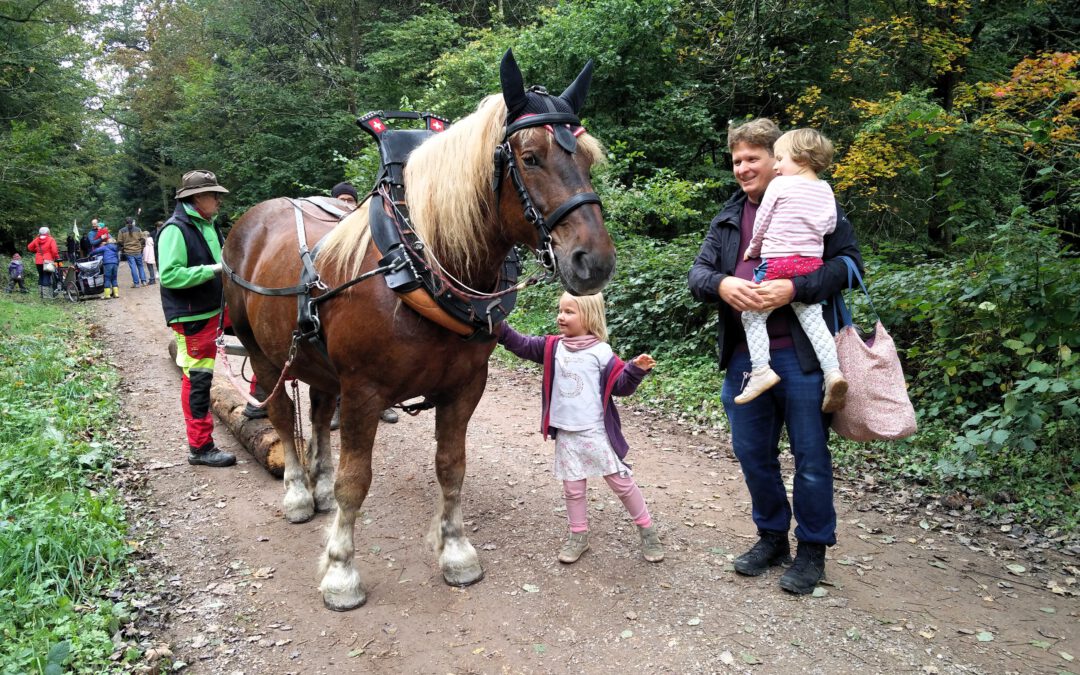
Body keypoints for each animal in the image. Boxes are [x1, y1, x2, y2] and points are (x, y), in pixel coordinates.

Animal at [219, 49, 617, 609]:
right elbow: (356, 481)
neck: (416, 263)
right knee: (279, 412)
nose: (594, 261)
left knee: (316, 412)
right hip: (263, 352)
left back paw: (317, 486)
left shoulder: (465, 386)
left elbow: (451, 467)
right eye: (531, 156)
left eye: (586, 158)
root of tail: (251, 220)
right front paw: (341, 571)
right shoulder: (364, 390)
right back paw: (298, 492)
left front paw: (456, 553)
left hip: (316, 361)